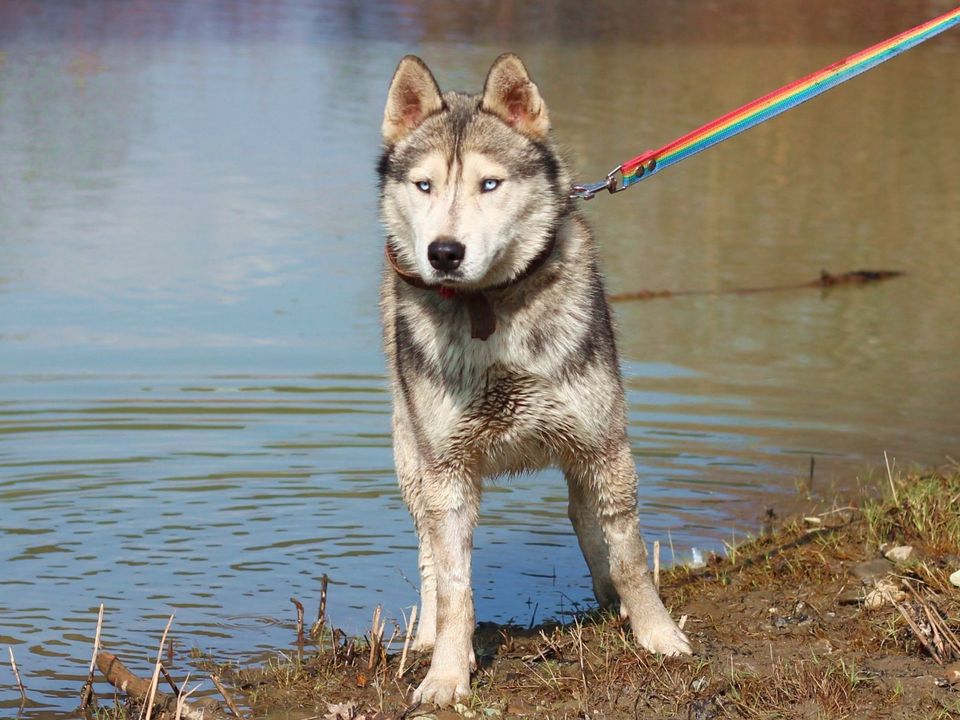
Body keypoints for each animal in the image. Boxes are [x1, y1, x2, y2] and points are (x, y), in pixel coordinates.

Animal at [376, 54, 688, 704]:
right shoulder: (447, 473)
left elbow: (629, 557)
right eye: (424, 185)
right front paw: (447, 673)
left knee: (585, 519)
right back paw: (425, 636)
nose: (444, 252)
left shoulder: (604, 446)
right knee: (428, 555)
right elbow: (455, 588)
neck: (488, 313)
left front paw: (658, 635)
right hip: (412, 460)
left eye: (489, 185)